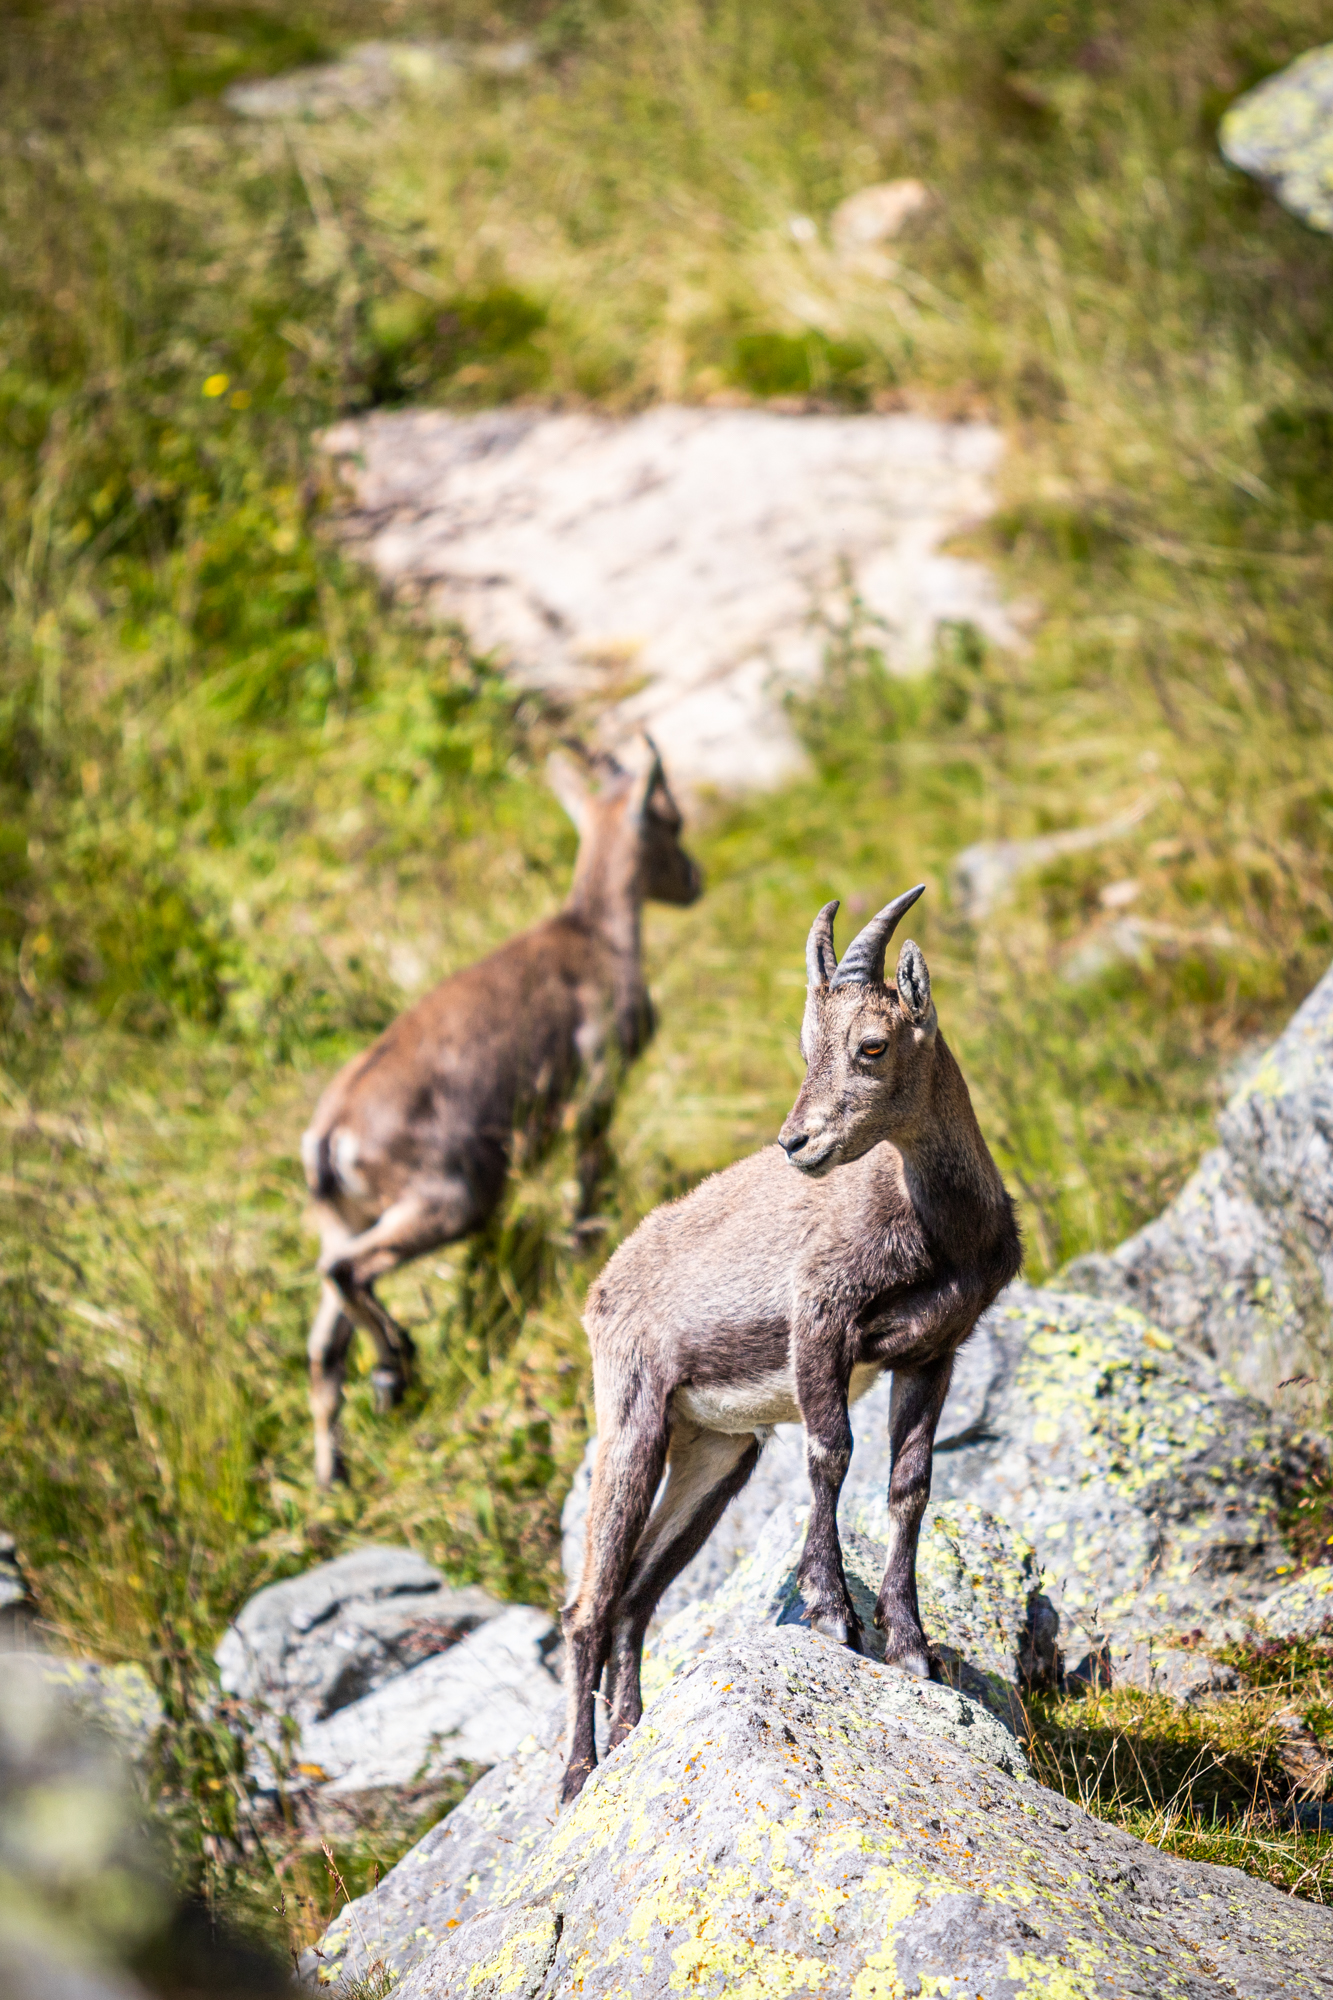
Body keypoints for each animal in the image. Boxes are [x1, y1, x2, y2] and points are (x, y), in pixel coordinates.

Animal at [301, 737, 702, 1487]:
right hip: (452, 1194)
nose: (694, 878)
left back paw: (336, 1464)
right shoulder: (597, 1078)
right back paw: (395, 1363)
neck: (598, 931)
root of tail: (329, 1137)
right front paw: (584, 1241)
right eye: (672, 821)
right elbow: (591, 1166)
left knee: (322, 1340)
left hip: (349, 1215)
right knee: (346, 1273)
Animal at [560, 884, 1021, 1802]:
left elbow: (910, 1484)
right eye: (806, 1047)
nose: (795, 1143)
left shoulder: (932, 1353)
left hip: (715, 1452)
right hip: (631, 1419)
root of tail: (601, 1287)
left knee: (635, 1595)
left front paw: (910, 1647)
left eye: (870, 1045)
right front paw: (830, 1612)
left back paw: (631, 1735)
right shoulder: (817, 1318)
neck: (935, 1226)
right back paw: (577, 1774)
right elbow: (829, 1452)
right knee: (588, 1604)